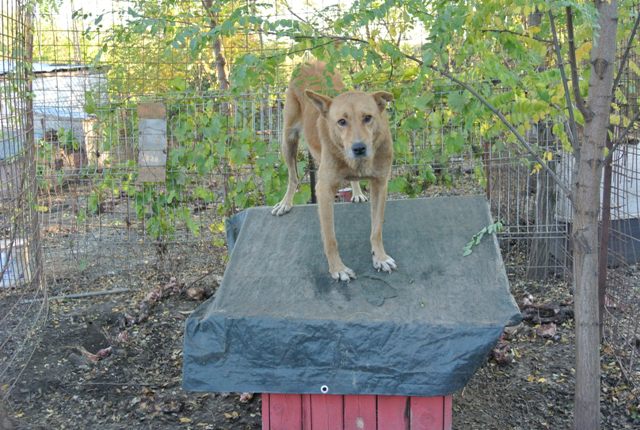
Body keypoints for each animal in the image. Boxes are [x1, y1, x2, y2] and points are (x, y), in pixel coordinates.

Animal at [270, 62, 396, 280]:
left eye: (368, 118)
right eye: (341, 122)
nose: (359, 148)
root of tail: (307, 62)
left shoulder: (380, 184)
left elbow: (377, 228)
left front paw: (379, 257)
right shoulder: (324, 191)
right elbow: (330, 238)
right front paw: (338, 269)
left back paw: (357, 192)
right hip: (288, 140)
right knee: (293, 177)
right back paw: (285, 203)